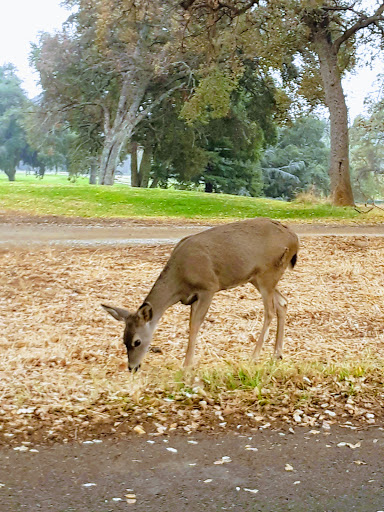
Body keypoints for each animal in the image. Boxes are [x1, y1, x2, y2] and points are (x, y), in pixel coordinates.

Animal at [103, 217, 298, 372]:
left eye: (137, 341)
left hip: (268, 273)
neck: (180, 279)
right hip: (258, 278)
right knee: (283, 302)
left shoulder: (208, 287)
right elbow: (191, 324)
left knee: (270, 311)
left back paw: (254, 356)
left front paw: (187, 365)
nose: (132, 367)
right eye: (123, 339)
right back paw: (277, 354)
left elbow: (195, 324)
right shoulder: (192, 298)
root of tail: (294, 238)